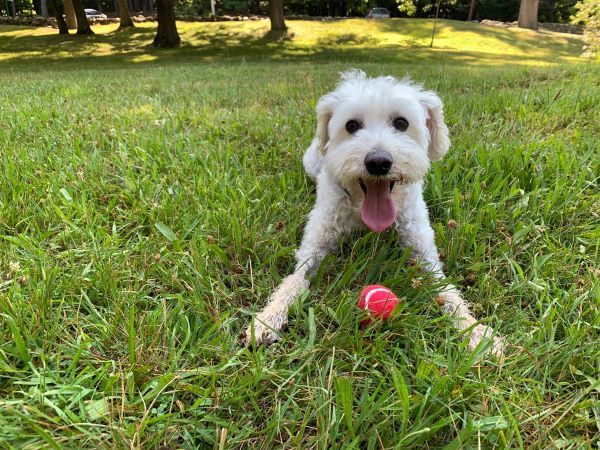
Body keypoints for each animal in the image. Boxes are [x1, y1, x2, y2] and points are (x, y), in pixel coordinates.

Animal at [243, 70, 502, 356]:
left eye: (401, 123)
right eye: (351, 126)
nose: (378, 162)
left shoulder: (423, 251)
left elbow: (446, 288)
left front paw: (473, 328)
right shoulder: (314, 246)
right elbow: (293, 280)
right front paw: (269, 316)